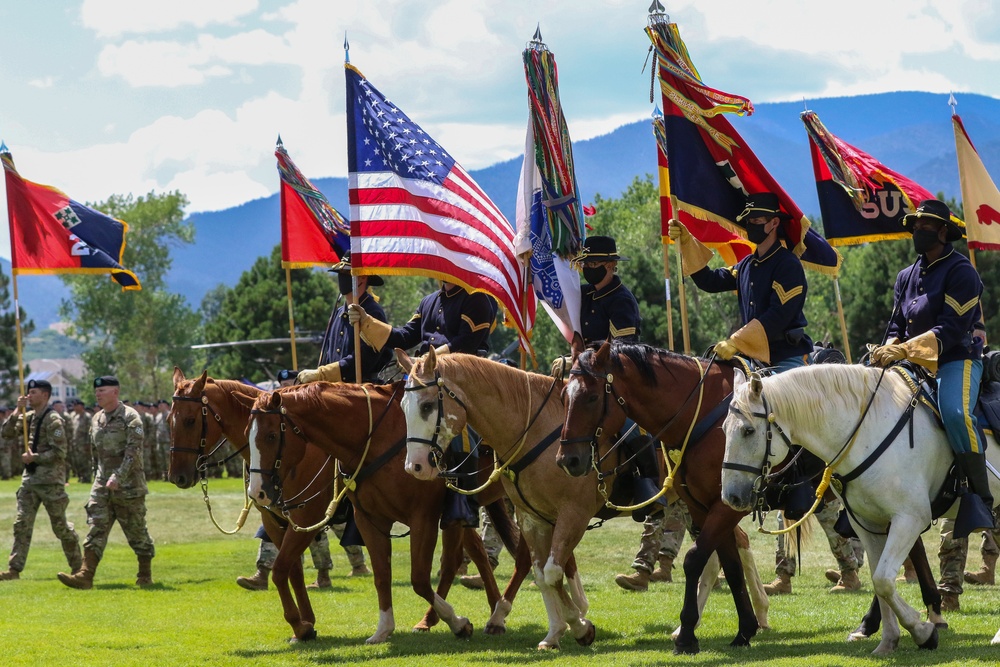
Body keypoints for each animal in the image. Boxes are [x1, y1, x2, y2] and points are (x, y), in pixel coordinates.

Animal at [168, 368, 330, 644]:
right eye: (169, 419)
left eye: (190, 420)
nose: (177, 476)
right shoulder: (276, 522)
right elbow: (292, 570)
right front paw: (306, 623)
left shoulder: (306, 519)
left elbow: (280, 570)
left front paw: (299, 625)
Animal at [240, 384, 524, 644]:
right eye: (247, 435)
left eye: (271, 435)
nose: (257, 492)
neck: (376, 440)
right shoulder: (369, 521)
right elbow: (381, 575)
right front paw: (383, 629)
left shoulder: (423, 518)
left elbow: (419, 579)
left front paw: (458, 622)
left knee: (514, 557)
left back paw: (495, 614)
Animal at [394, 350, 768, 652]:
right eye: (402, 407)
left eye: (427, 405)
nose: (415, 466)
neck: (532, 428)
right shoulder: (531, 517)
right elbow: (542, 573)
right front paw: (555, 631)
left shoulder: (573, 514)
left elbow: (551, 570)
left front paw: (579, 625)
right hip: (699, 503)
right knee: (729, 548)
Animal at [564, 342, 944, 656]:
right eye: (564, 396)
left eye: (591, 397)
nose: (568, 460)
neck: (699, 417)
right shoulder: (707, 507)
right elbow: (728, 564)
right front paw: (743, 629)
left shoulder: (726, 506)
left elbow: (696, 559)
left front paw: (687, 634)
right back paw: (901, 617)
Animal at [724, 362, 1000, 656]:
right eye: (723, 429)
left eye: (748, 431)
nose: (731, 496)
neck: (868, 430)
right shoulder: (868, 525)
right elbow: (880, 582)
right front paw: (888, 639)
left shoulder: (910, 519)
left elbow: (883, 580)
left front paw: (923, 631)